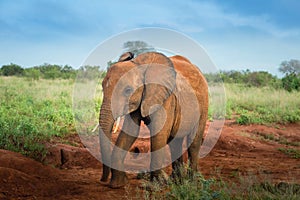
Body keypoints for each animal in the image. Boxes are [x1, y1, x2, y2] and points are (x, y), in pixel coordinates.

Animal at [99, 50, 207, 188]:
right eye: (102, 88)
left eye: (128, 90)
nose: (102, 180)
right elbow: (130, 132)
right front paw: (118, 185)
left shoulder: (166, 99)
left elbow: (158, 134)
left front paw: (154, 186)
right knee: (174, 143)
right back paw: (177, 181)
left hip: (203, 104)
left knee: (194, 142)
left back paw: (191, 181)